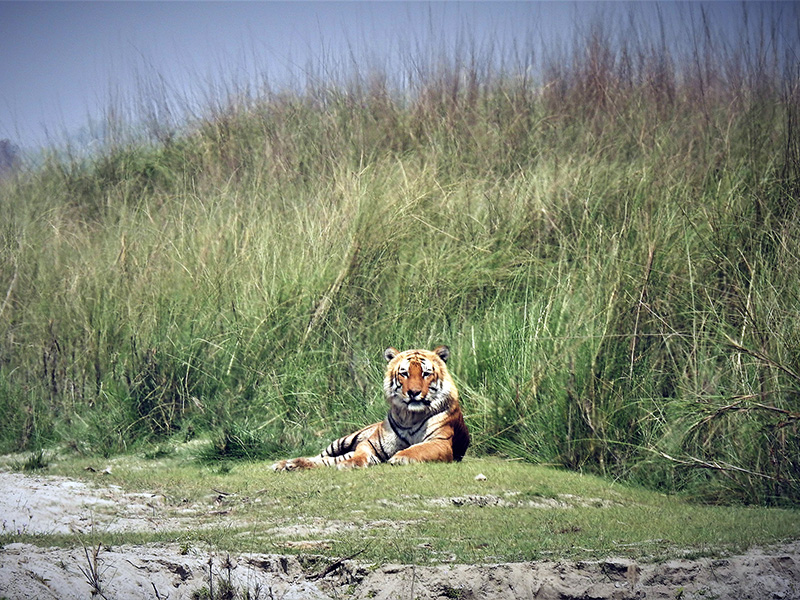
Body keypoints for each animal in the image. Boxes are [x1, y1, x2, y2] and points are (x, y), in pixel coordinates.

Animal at [270, 346, 468, 468]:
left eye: (426, 374)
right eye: (404, 374)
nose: (413, 392)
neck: (410, 416)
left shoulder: (440, 442)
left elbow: (418, 448)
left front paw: (400, 457)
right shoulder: (371, 443)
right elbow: (360, 453)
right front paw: (351, 463)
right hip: (343, 441)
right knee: (323, 457)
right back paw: (285, 464)